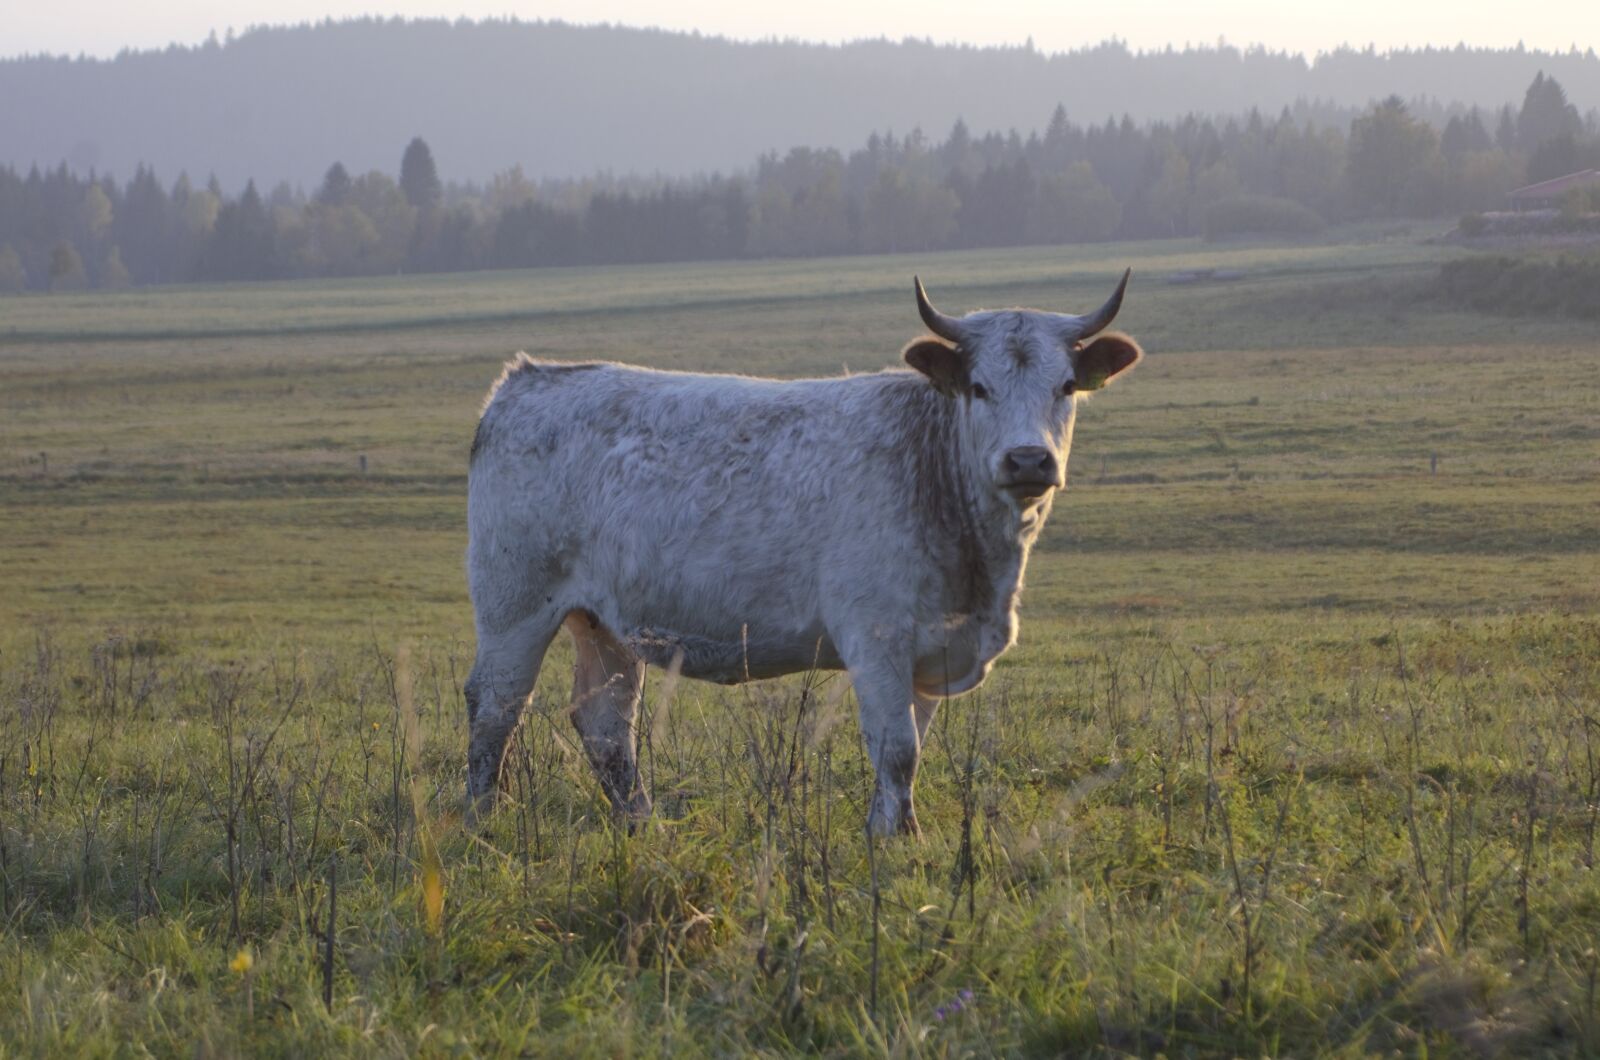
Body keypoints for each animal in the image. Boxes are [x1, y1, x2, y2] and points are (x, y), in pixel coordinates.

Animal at [464, 273, 1143, 836]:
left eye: (1065, 387)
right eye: (979, 387)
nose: (1028, 460)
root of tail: (529, 379)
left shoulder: (933, 647)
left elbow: (910, 751)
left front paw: (889, 830)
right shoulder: (875, 636)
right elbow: (897, 748)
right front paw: (900, 839)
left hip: (603, 623)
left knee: (606, 723)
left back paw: (641, 824)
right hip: (513, 605)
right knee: (496, 706)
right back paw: (480, 819)